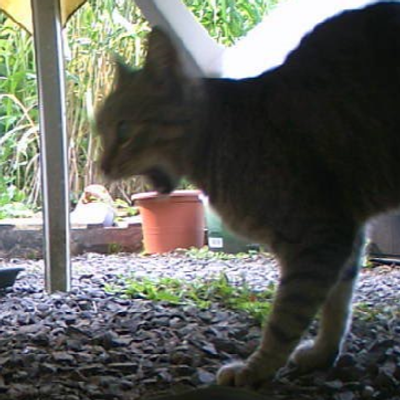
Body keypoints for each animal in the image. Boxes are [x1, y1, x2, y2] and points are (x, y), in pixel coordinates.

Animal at [96, 2, 400, 388]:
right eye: (99, 131)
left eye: (123, 131)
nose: (101, 166)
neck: (218, 137)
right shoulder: (346, 234)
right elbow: (337, 304)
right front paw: (323, 353)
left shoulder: (319, 239)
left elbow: (286, 318)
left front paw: (257, 369)